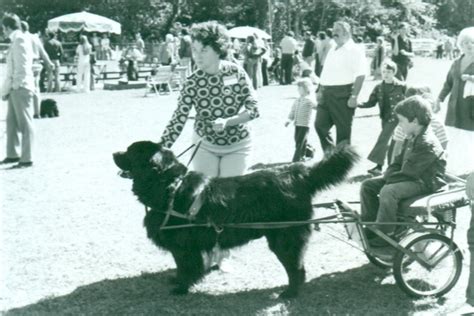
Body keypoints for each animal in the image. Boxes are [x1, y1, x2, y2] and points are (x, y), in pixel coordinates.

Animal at [114, 142, 360, 298]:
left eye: (129, 152)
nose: (114, 153)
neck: (170, 186)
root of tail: (299, 174)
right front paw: (178, 281)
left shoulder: (183, 245)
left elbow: (185, 266)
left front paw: (181, 288)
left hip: (284, 236)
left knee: (296, 268)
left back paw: (288, 294)